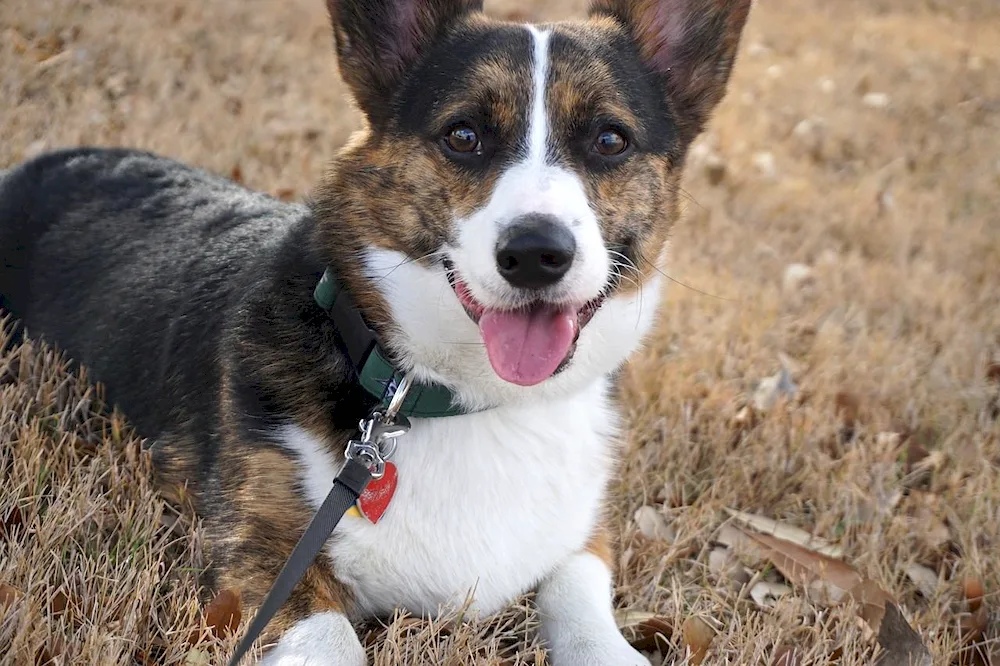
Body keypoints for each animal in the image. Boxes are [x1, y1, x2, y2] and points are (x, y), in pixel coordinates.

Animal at [0, 1, 752, 660]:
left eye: (609, 140)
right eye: (464, 135)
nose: (537, 253)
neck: (468, 401)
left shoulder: (581, 539)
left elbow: (583, 604)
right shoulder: (260, 553)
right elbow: (330, 637)